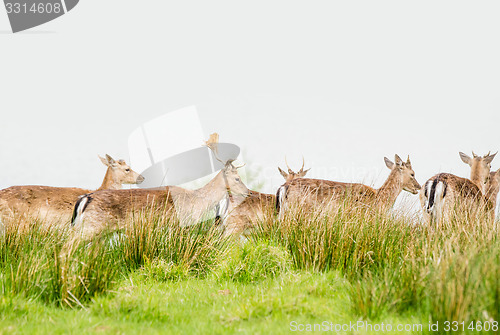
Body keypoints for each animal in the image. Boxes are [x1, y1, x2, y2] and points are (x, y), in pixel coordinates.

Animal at [70, 134, 250, 242]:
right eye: (237, 178)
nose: (248, 192)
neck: (197, 201)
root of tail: (85, 198)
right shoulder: (179, 224)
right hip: (91, 227)